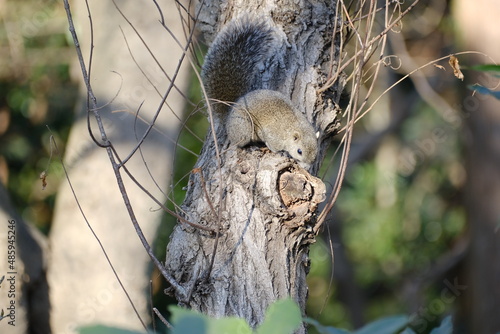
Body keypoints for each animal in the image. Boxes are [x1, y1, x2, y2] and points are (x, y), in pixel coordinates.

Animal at [201, 17, 318, 168]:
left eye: (316, 154)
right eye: (299, 151)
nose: (307, 167)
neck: (293, 126)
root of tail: (229, 113)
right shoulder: (273, 135)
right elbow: (273, 145)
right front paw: (282, 152)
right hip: (244, 127)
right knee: (238, 143)